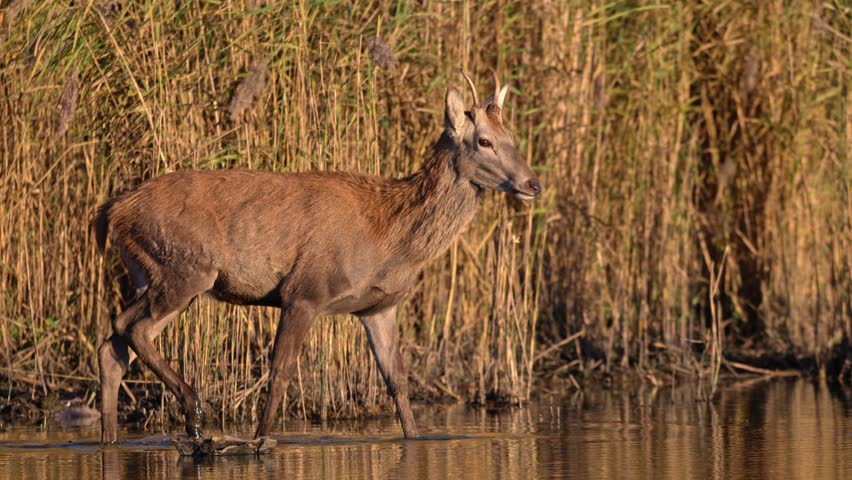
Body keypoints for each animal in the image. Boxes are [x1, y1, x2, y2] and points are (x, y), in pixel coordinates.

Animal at [93, 70, 542, 446]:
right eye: (484, 141)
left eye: (513, 137)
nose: (533, 183)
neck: (390, 240)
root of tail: (112, 212)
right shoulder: (304, 292)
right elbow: (279, 375)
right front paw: (259, 441)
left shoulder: (378, 307)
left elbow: (397, 382)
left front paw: (414, 439)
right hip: (186, 270)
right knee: (133, 330)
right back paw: (193, 412)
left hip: (152, 275)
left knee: (114, 342)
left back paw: (112, 439)